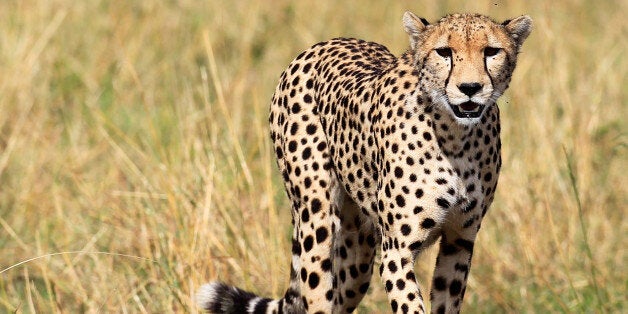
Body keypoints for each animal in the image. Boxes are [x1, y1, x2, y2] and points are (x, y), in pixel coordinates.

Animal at [196, 11, 528, 312]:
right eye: (444, 51)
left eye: (491, 51)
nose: (470, 88)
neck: (456, 136)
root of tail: (324, 44)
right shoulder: (397, 252)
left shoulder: (459, 242)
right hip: (316, 220)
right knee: (317, 291)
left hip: (358, 253)